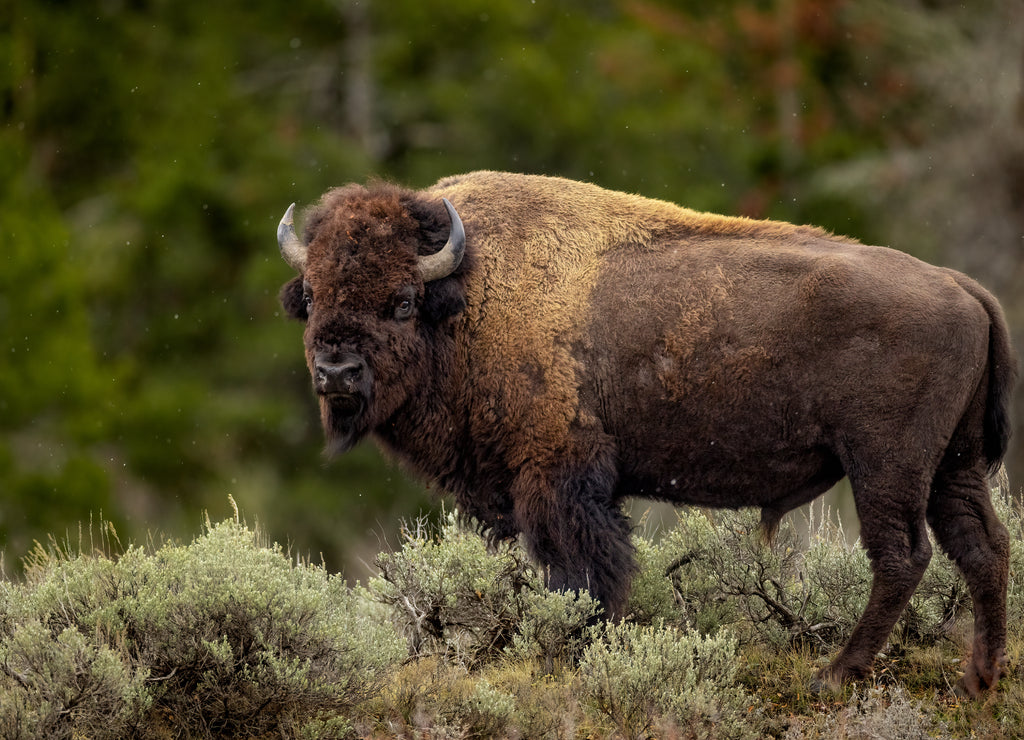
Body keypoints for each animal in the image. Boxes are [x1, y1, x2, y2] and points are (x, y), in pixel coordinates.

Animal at [278, 170, 1015, 695]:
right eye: (310, 296)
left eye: (401, 300)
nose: (336, 371)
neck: (469, 295)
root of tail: (962, 286)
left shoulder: (558, 478)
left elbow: (582, 572)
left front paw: (573, 651)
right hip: (954, 466)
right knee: (984, 547)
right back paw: (978, 679)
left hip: (885, 464)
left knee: (903, 556)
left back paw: (834, 676)